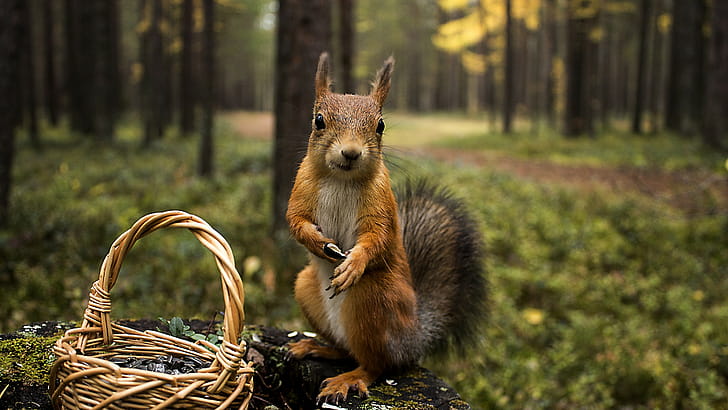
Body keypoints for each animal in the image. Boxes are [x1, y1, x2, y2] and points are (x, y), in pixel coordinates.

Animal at [285, 52, 486, 405]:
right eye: (318, 120)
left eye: (380, 125)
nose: (351, 152)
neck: (341, 179)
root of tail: (413, 338)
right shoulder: (301, 188)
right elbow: (295, 221)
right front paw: (317, 242)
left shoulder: (381, 204)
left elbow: (377, 237)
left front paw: (353, 264)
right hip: (306, 288)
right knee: (347, 350)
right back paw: (316, 347)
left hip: (374, 300)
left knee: (376, 364)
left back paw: (349, 378)